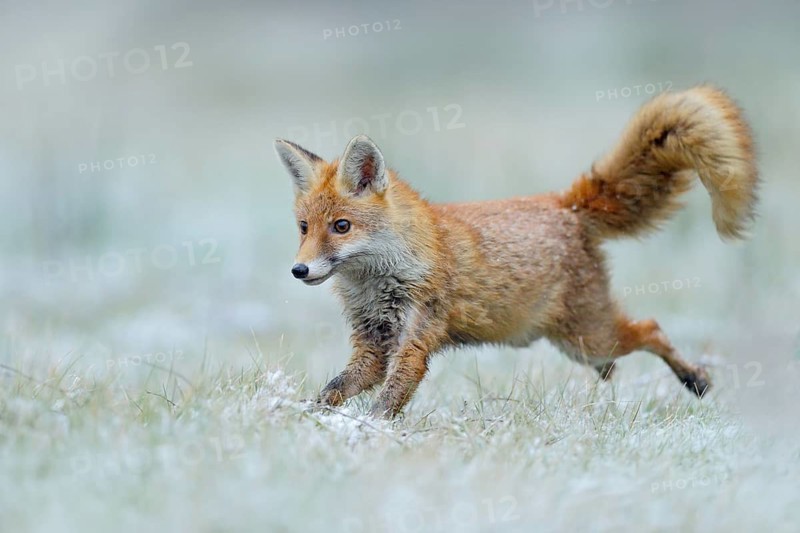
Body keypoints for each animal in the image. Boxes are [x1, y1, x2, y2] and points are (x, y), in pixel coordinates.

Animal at [274, 85, 759, 419]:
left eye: (341, 227)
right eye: (304, 228)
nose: (299, 270)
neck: (380, 281)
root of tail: (565, 203)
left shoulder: (414, 343)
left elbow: (386, 402)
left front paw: (368, 432)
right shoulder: (373, 346)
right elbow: (333, 389)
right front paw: (307, 419)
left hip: (589, 336)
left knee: (652, 328)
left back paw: (695, 378)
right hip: (580, 344)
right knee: (623, 352)